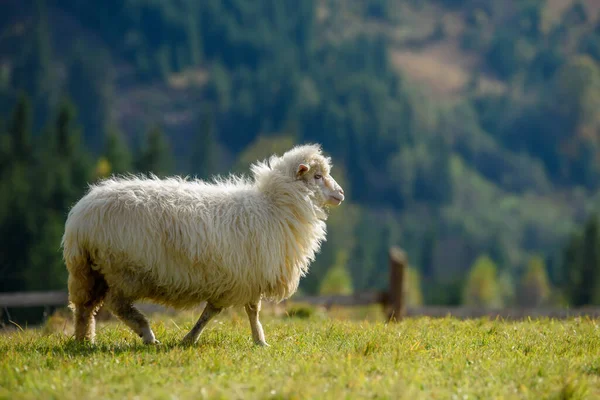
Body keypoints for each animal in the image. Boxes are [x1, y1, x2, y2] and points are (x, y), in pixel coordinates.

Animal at [61, 144, 344, 346]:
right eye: (318, 176)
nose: (341, 194)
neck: (275, 206)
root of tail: (81, 216)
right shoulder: (249, 275)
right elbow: (250, 310)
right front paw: (260, 341)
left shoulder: (238, 278)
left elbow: (216, 311)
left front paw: (192, 338)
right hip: (123, 270)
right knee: (115, 305)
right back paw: (147, 334)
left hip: (88, 269)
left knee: (84, 308)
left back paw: (84, 341)